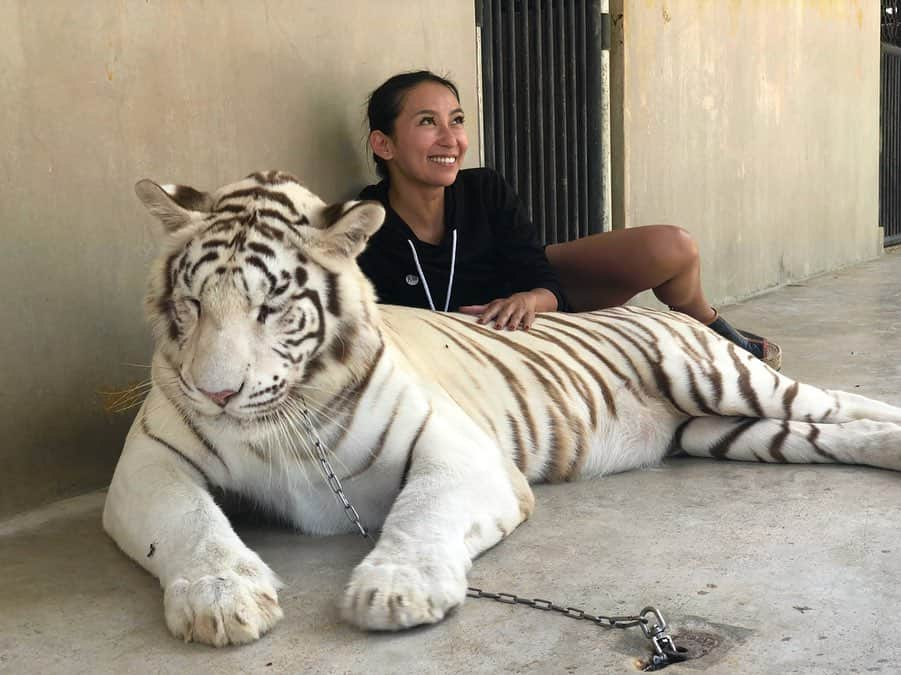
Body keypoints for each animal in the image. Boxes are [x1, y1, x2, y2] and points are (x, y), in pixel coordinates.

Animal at [102, 172, 900, 648]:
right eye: (192, 302)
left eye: (271, 306)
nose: (216, 393)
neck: (279, 423)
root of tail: (661, 310)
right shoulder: (150, 462)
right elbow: (190, 523)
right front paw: (222, 600)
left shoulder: (457, 448)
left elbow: (422, 513)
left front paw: (395, 588)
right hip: (722, 433)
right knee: (830, 432)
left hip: (719, 379)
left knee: (841, 400)